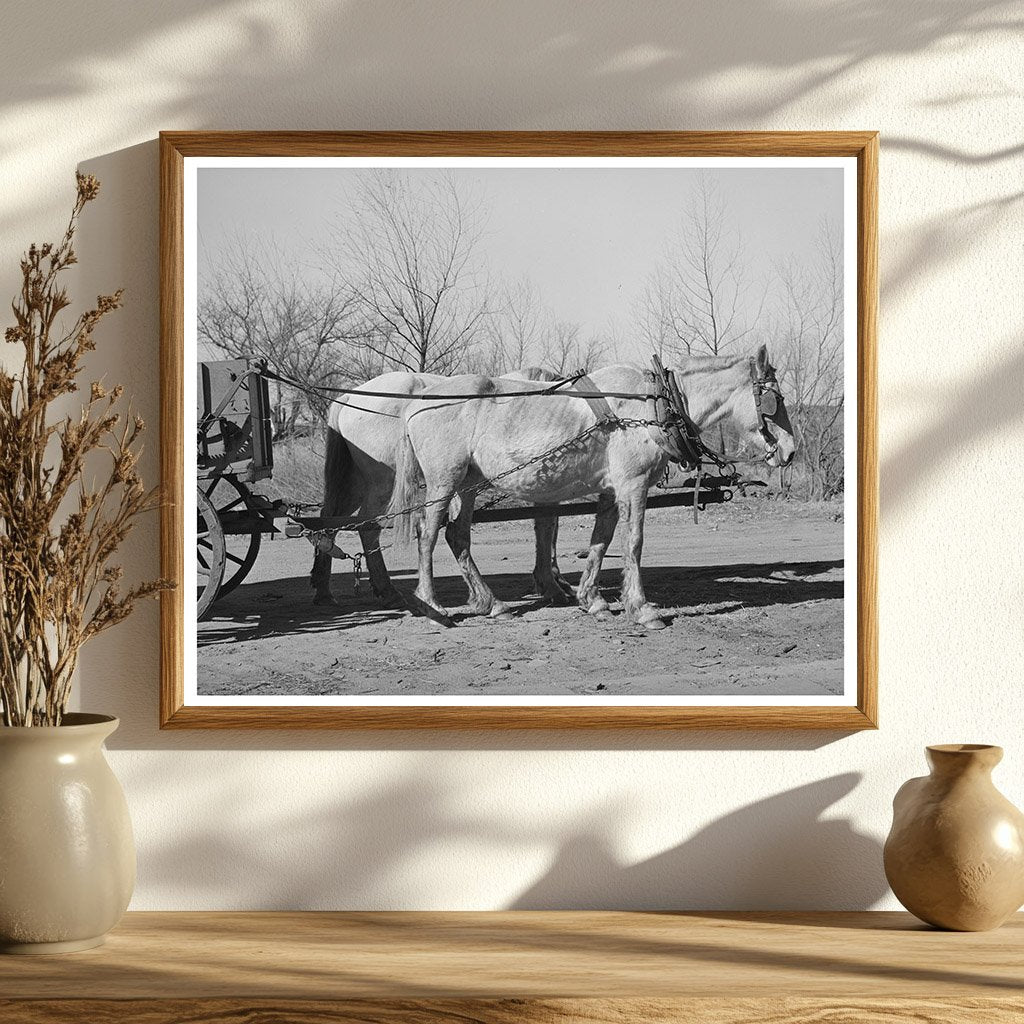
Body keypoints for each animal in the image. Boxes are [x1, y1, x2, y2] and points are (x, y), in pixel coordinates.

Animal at [307, 368, 573, 606]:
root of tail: (349, 397)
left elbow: (547, 528)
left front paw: (552, 580)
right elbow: (547, 528)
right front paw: (551, 583)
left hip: (356, 484)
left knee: (329, 520)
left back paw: (323, 590)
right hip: (383, 484)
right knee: (367, 527)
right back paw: (387, 590)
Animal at [387, 348, 794, 626]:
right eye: (775, 399)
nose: (790, 450)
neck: (651, 405)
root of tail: (418, 402)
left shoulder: (611, 491)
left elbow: (601, 541)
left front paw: (592, 598)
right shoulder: (633, 485)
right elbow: (634, 543)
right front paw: (641, 608)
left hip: (468, 483)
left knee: (457, 535)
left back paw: (493, 604)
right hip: (444, 480)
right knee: (428, 533)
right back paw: (432, 605)